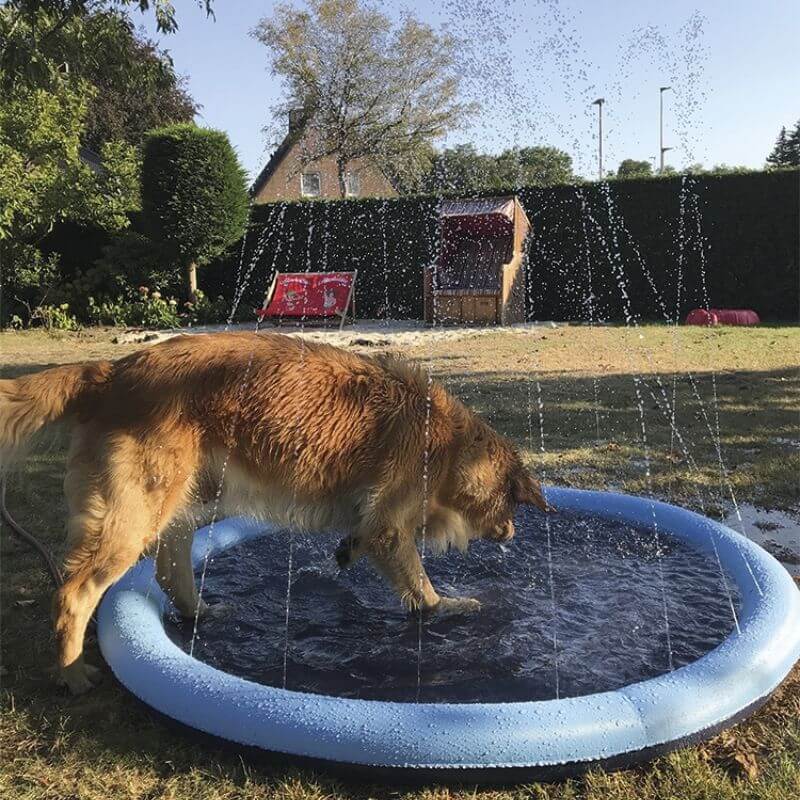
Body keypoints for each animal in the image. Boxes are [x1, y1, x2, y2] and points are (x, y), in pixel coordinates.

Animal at [0, 332, 548, 692]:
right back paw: (72, 673)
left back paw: (202, 613)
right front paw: (449, 608)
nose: (512, 535)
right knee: (74, 592)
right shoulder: (392, 527)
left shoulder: (375, 524)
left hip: (191, 499)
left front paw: (347, 551)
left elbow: (364, 539)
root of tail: (111, 372)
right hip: (136, 515)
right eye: (512, 502)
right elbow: (422, 588)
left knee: (171, 566)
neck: (449, 443)